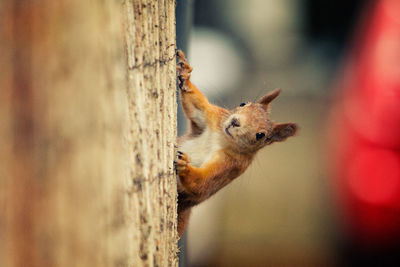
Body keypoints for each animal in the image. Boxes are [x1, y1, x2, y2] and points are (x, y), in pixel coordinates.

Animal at [175, 49, 296, 238]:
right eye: (243, 103)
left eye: (260, 135)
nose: (235, 122)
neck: (222, 139)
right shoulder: (214, 118)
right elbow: (195, 105)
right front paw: (185, 74)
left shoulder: (231, 165)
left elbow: (202, 184)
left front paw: (185, 165)